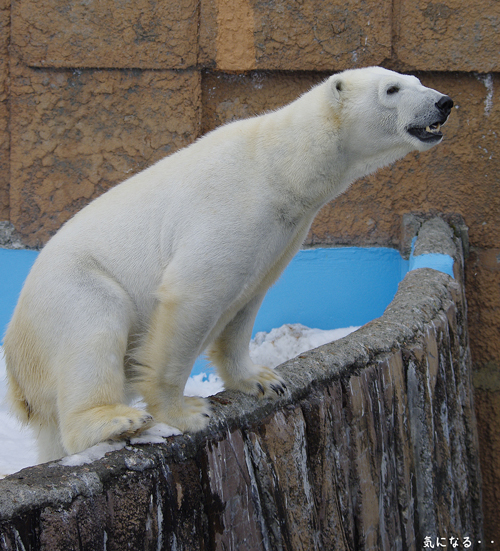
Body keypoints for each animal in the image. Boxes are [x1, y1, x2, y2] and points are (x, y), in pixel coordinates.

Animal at [2, 67, 454, 462]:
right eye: (392, 89)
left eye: (417, 80)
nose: (444, 102)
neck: (280, 166)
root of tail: (21, 382)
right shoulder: (227, 208)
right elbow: (194, 293)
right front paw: (184, 412)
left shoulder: (283, 234)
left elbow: (247, 300)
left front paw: (264, 380)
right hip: (69, 291)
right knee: (94, 328)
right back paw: (118, 421)